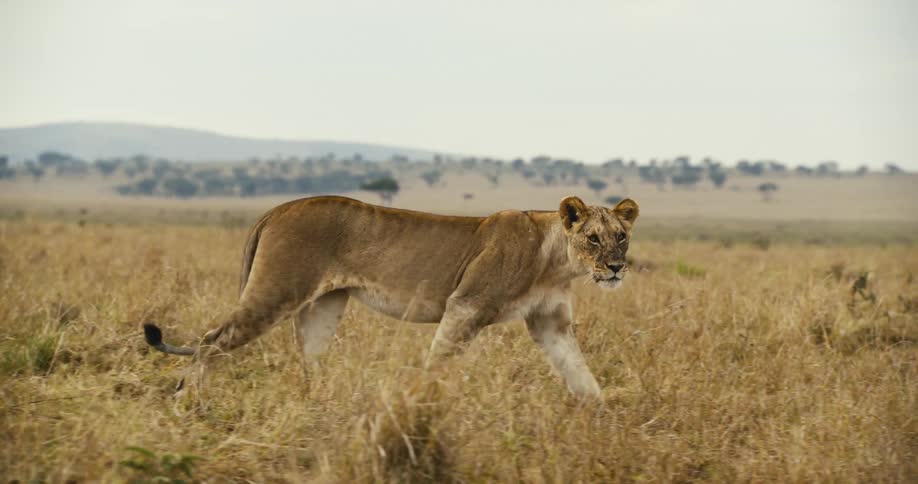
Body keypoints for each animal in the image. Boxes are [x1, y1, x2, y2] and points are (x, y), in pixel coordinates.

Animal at [144, 195, 639, 397]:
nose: (617, 267)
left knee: (309, 359)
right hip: (276, 290)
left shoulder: (550, 323)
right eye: (593, 238)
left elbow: (581, 374)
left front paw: (601, 418)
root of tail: (277, 208)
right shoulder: (466, 305)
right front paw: (420, 409)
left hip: (324, 305)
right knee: (209, 340)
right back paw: (186, 401)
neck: (555, 261)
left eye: (621, 236)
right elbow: (437, 365)